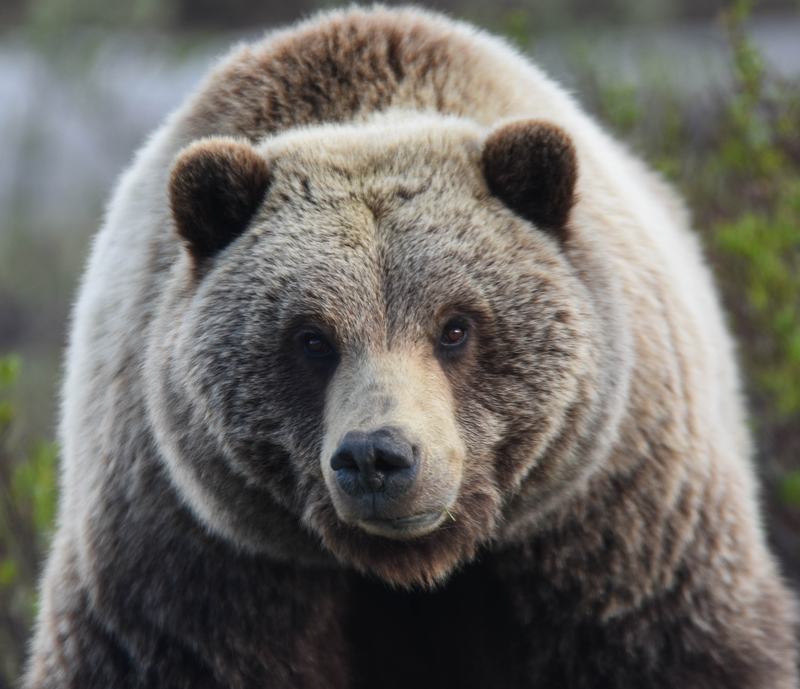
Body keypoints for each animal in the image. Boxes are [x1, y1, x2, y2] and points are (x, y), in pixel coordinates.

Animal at [24, 5, 798, 689]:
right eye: (311, 337)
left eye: (456, 325)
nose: (377, 456)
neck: (412, 571)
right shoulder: (192, 561)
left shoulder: (617, 532)